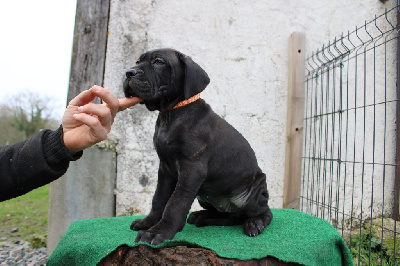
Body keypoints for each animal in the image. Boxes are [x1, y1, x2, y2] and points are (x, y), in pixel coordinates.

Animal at [123, 48, 274, 245]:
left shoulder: (192, 169)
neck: (171, 114)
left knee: (262, 212)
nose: (128, 73)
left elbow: (175, 202)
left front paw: (159, 232)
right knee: (230, 216)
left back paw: (255, 223)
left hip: (252, 193)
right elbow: (159, 198)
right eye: (138, 61)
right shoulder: (165, 169)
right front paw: (148, 222)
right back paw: (202, 216)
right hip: (207, 198)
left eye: (158, 62)